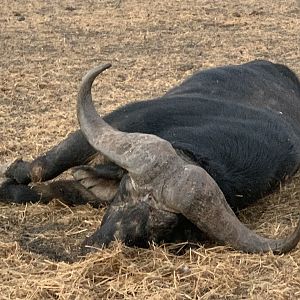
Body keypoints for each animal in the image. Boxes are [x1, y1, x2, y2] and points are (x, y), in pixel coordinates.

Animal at [0, 59, 300, 254]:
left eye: (160, 225)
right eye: (124, 192)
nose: (99, 244)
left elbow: (59, 190)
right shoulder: (121, 119)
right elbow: (44, 167)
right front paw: (13, 174)